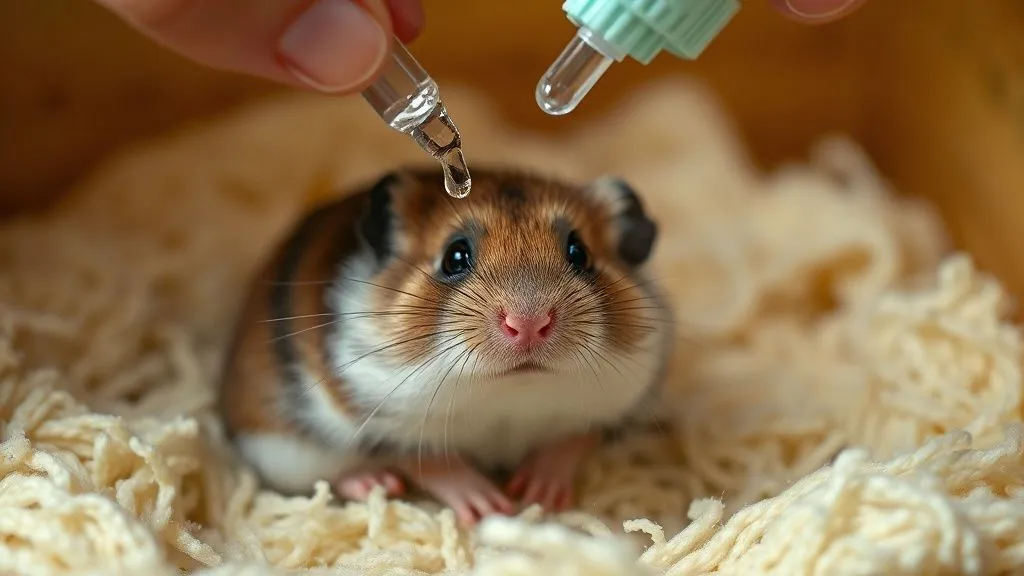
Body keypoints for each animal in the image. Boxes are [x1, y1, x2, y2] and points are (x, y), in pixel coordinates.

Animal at [217, 166, 675, 525]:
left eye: (579, 253)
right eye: (455, 256)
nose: (528, 324)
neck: (510, 402)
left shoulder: (611, 405)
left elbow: (573, 439)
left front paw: (538, 495)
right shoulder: (381, 420)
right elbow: (430, 459)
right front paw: (489, 509)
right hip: (283, 450)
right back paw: (376, 483)